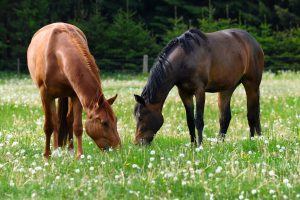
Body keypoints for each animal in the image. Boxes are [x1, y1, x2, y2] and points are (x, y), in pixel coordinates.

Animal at [27, 22, 120, 159]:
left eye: (116, 120)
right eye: (104, 123)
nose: (118, 149)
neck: (57, 55)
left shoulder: (76, 96)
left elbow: (77, 126)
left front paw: (79, 155)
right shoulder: (45, 94)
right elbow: (49, 126)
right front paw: (47, 155)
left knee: (67, 120)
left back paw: (69, 150)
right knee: (55, 121)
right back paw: (55, 150)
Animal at [135, 28, 264, 145]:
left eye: (141, 117)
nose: (138, 143)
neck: (185, 59)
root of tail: (254, 43)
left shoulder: (199, 91)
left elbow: (198, 120)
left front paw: (200, 145)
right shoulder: (184, 93)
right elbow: (190, 121)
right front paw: (193, 145)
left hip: (251, 85)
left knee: (252, 114)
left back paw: (253, 140)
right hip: (227, 89)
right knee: (225, 117)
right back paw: (219, 144)